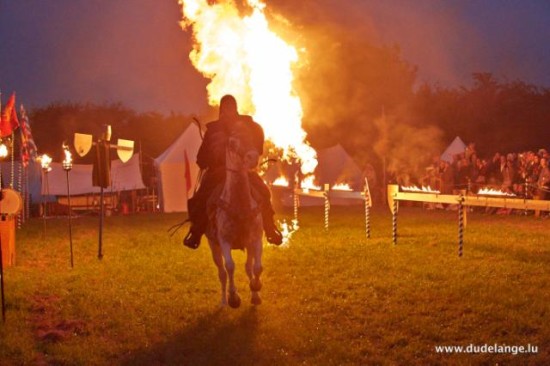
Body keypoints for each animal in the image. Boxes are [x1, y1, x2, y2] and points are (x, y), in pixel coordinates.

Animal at [207, 121, 268, 308]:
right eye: (232, 142)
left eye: (252, 136)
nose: (252, 157)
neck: (240, 204)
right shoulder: (224, 241)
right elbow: (230, 266)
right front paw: (234, 297)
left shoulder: (255, 239)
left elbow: (257, 267)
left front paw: (255, 288)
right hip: (214, 246)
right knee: (222, 272)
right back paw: (223, 302)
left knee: (248, 266)